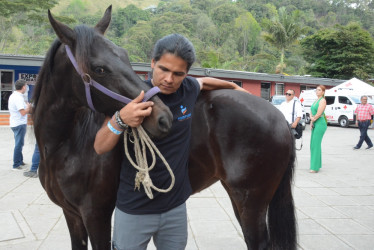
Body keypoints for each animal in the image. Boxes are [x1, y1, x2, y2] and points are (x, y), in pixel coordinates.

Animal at [32, 5, 296, 250]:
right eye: (99, 68)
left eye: (125, 56)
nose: (162, 118)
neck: (67, 146)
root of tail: (280, 118)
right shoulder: (72, 215)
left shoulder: (96, 215)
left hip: (251, 202)